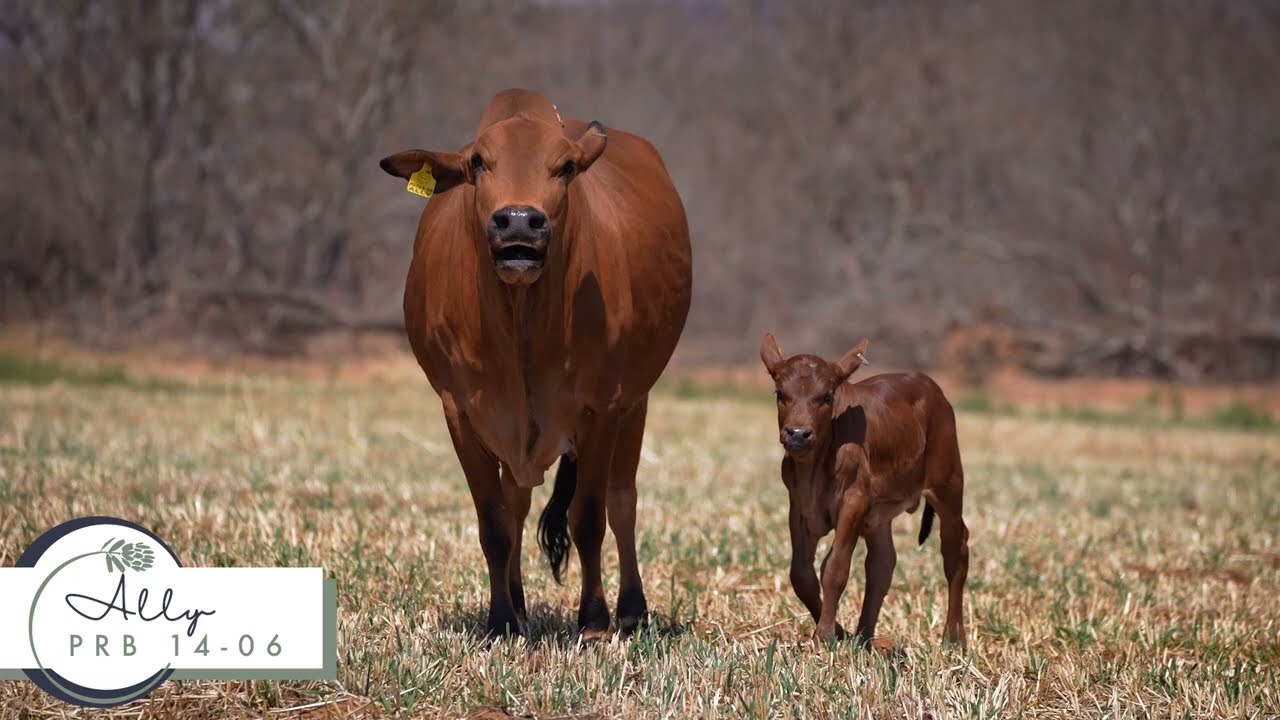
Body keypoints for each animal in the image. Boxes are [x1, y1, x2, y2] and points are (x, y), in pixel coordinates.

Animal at [380, 90, 692, 640]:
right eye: (478, 162)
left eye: (565, 167)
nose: (521, 220)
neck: (521, 326)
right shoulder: (461, 410)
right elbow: (494, 522)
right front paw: (502, 619)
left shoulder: (602, 406)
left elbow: (589, 518)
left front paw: (594, 622)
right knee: (519, 505)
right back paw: (521, 603)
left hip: (636, 401)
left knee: (622, 502)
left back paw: (632, 610)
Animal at [759, 334, 969, 647]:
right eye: (780, 394)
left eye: (827, 396)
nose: (798, 434)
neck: (814, 467)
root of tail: (933, 390)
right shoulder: (800, 507)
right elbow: (801, 574)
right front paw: (838, 631)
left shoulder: (853, 501)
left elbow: (834, 567)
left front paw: (824, 634)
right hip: (879, 514)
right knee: (882, 563)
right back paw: (864, 638)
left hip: (948, 484)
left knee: (956, 548)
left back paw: (954, 637)